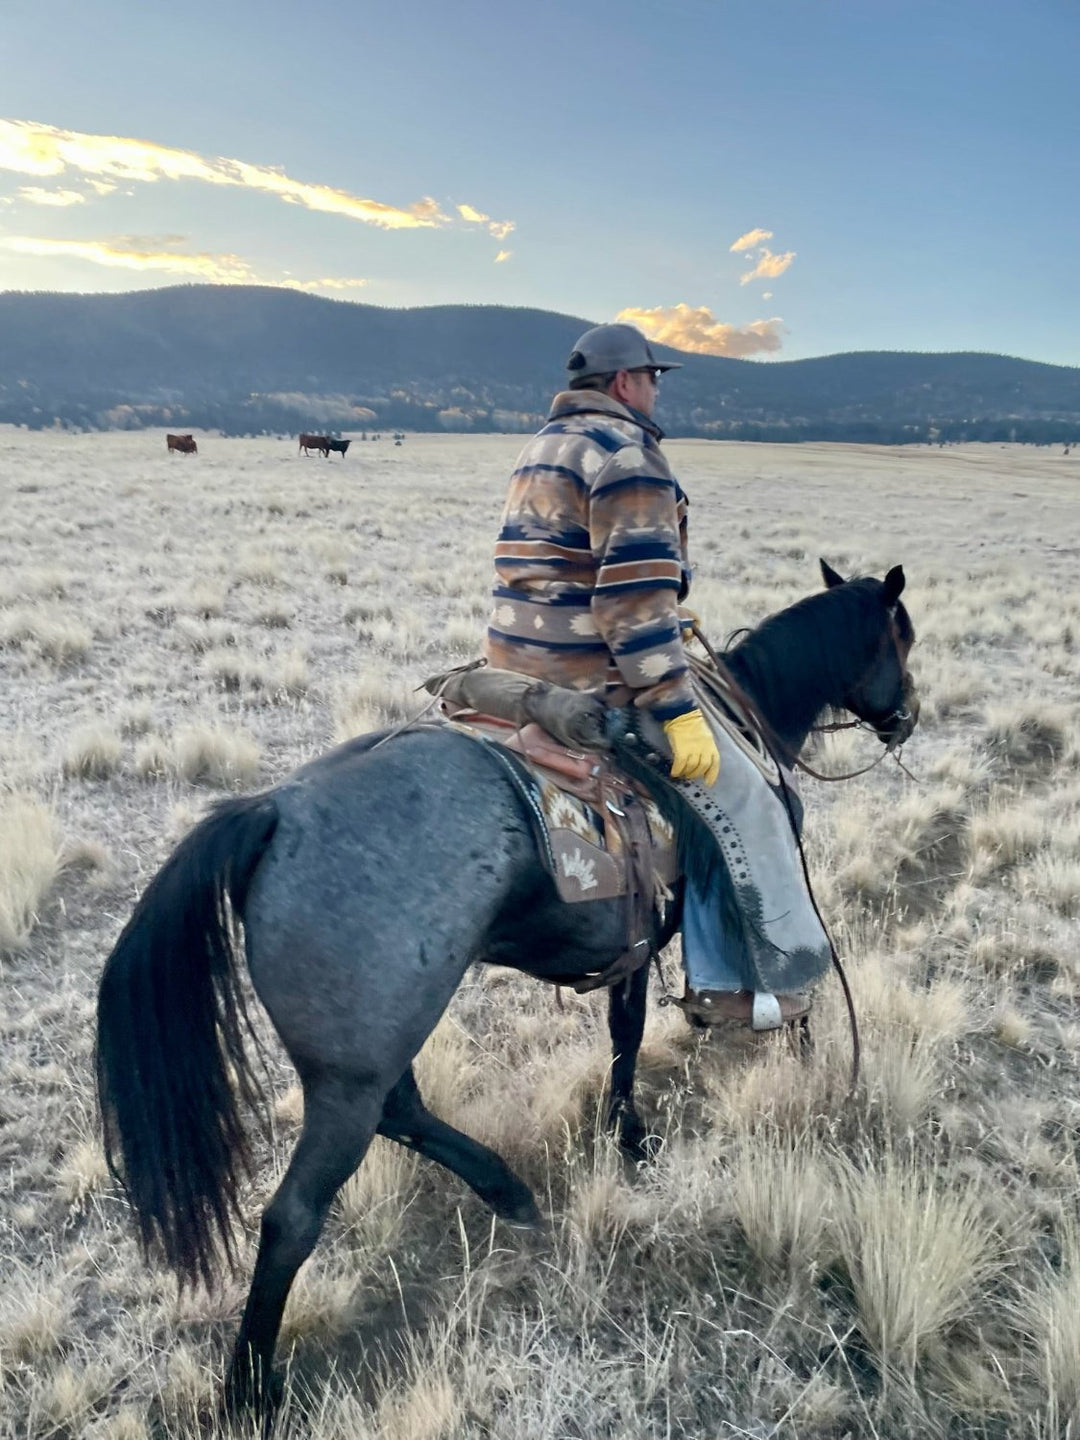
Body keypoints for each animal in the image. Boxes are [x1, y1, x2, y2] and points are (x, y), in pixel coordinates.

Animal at [95, 555, 921, 1411]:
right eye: (903, 639)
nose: (907, 717)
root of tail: (272, 813)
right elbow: (664, 1024)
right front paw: (764, 1068)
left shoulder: (632, 944)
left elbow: (623, 1028)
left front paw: (625, 1127)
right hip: (354, 1070)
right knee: (294, 1214)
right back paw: (251, 1384)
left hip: (368, 1049)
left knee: (402, 1109)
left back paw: (508, 1192)